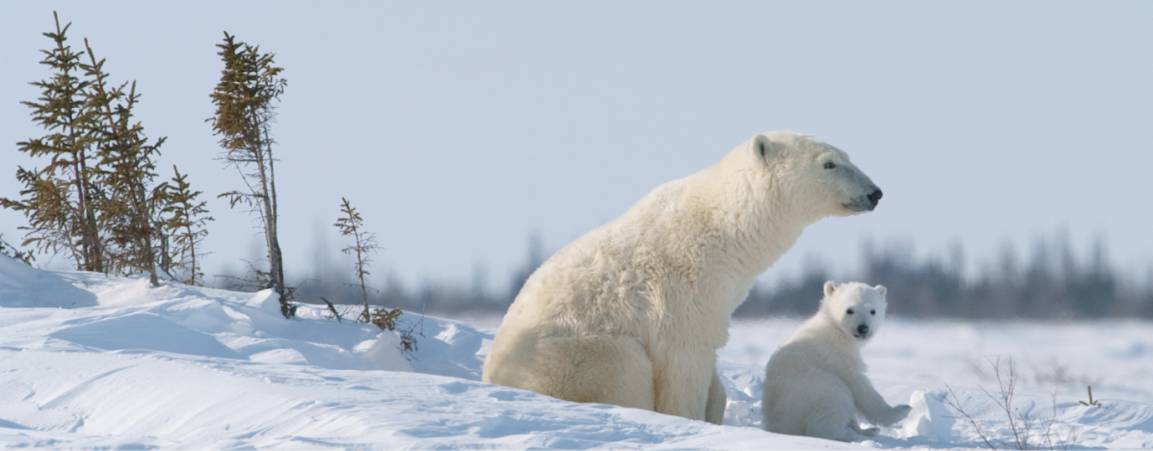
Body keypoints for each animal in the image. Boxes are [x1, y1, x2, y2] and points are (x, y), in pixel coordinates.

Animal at [483, 132, 883, 423]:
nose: (875, 192)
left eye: (848, 156)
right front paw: (689, 420)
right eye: (829, 163)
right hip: (572, 358)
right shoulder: (681, 297)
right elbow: (683, 368)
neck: (723, 231)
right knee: (625, 365)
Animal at [761, 281, 910, 441]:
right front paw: (901, 410)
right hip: (812, 391)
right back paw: (850, 435)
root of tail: (779, 427)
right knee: (834, 402)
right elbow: (859, 386)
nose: (863, 328)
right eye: (849, 310)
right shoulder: (837, 355)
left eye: (872, 311)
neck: (834, 326)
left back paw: (867, 431)